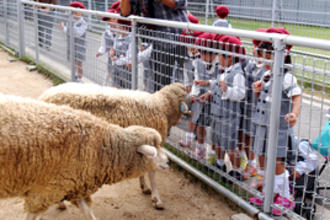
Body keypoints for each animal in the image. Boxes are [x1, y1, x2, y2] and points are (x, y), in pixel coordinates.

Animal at [0, 93, 168, 219]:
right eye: (155, 147)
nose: (167, 162)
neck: (100, 148)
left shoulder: (73, 183)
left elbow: (88, 213)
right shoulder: (44, 192)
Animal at [38, 81, 188, 209]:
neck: (162, 105)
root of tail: (44, 96)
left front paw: (144, 187)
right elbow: (152, 173)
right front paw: (157, 199)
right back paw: (60, 203)